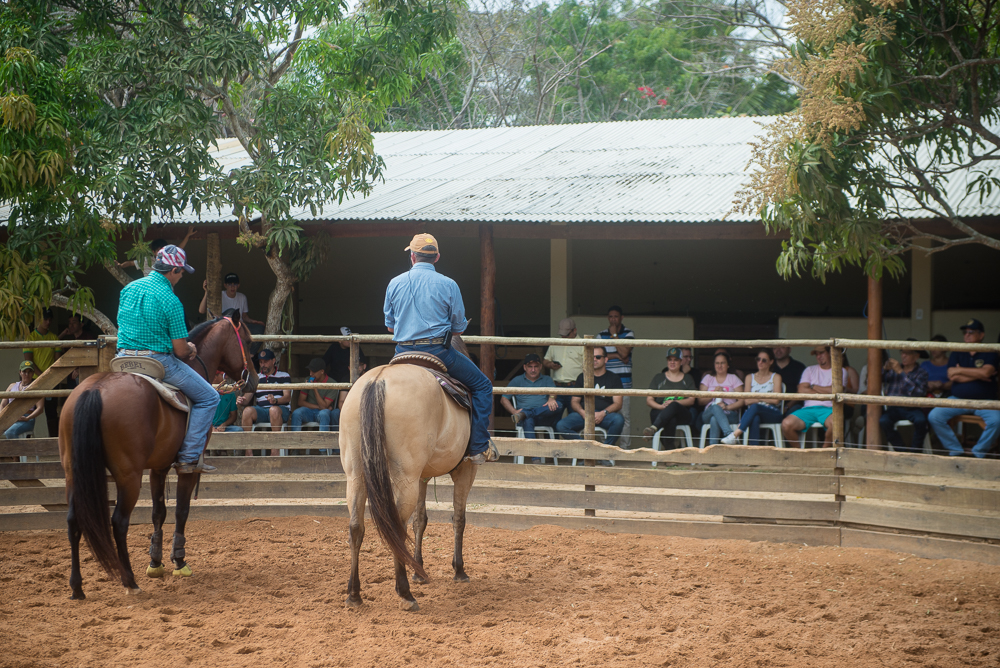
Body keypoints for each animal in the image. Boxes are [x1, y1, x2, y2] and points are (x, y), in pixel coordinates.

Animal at [58, 314, 258, 600]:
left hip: (73, 473)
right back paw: (129, 581)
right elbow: (182, 511)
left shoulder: (158, 467)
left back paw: (77, 587)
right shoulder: (188, 467)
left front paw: (156, 563)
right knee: (119, 522)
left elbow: (158, 513)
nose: (254, 380)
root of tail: (95, 389)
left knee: (74, 520)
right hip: (128, 476)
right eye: (249, 341)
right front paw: (179, 562)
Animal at [340, 340, 480, 612]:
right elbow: (459, 519)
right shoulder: (465, 471)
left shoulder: (422, 477)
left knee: (356, 526)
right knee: (395, 526)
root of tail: (377, 381)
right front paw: (459, 570)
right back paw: (405, 594)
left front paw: (419, 570)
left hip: (357, 474)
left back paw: (354, 594)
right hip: (405, 478)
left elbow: (420, 520)